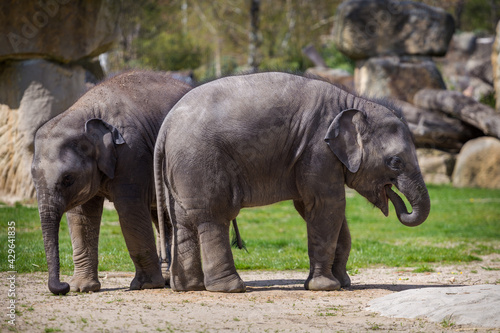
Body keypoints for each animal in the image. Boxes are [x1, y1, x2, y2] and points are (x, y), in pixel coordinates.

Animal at [30, 69, 191, 294]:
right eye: (33, 176)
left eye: (67, 178)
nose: (63, 285)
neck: (85, 112)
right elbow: (81, 216)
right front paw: (82, 288)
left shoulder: (133, 153)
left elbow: (130, 211)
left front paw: (144, 285)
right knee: (162, 217)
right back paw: (169, 279)